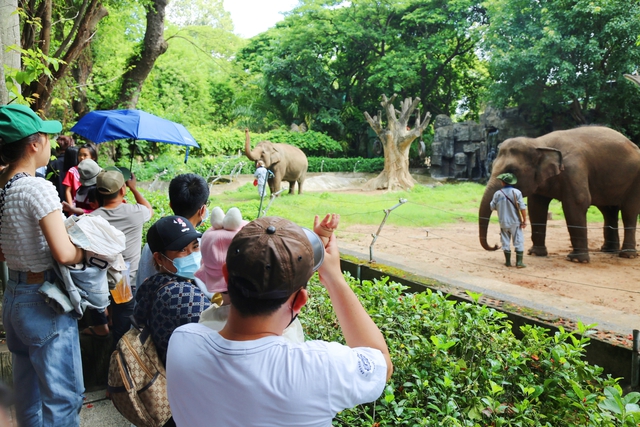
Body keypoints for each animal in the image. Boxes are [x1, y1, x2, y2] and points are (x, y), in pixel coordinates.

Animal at [478, 125, 640, 262]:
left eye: (512, 171)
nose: (495, 245)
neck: (539, 143)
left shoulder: (574, 170)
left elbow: (576, 203)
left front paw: (577, 260)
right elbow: (536, 206)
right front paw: (536, 253)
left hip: (635, 180)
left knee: (629, 211)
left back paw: (627, 255)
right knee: (608, 211)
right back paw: (608, 250)